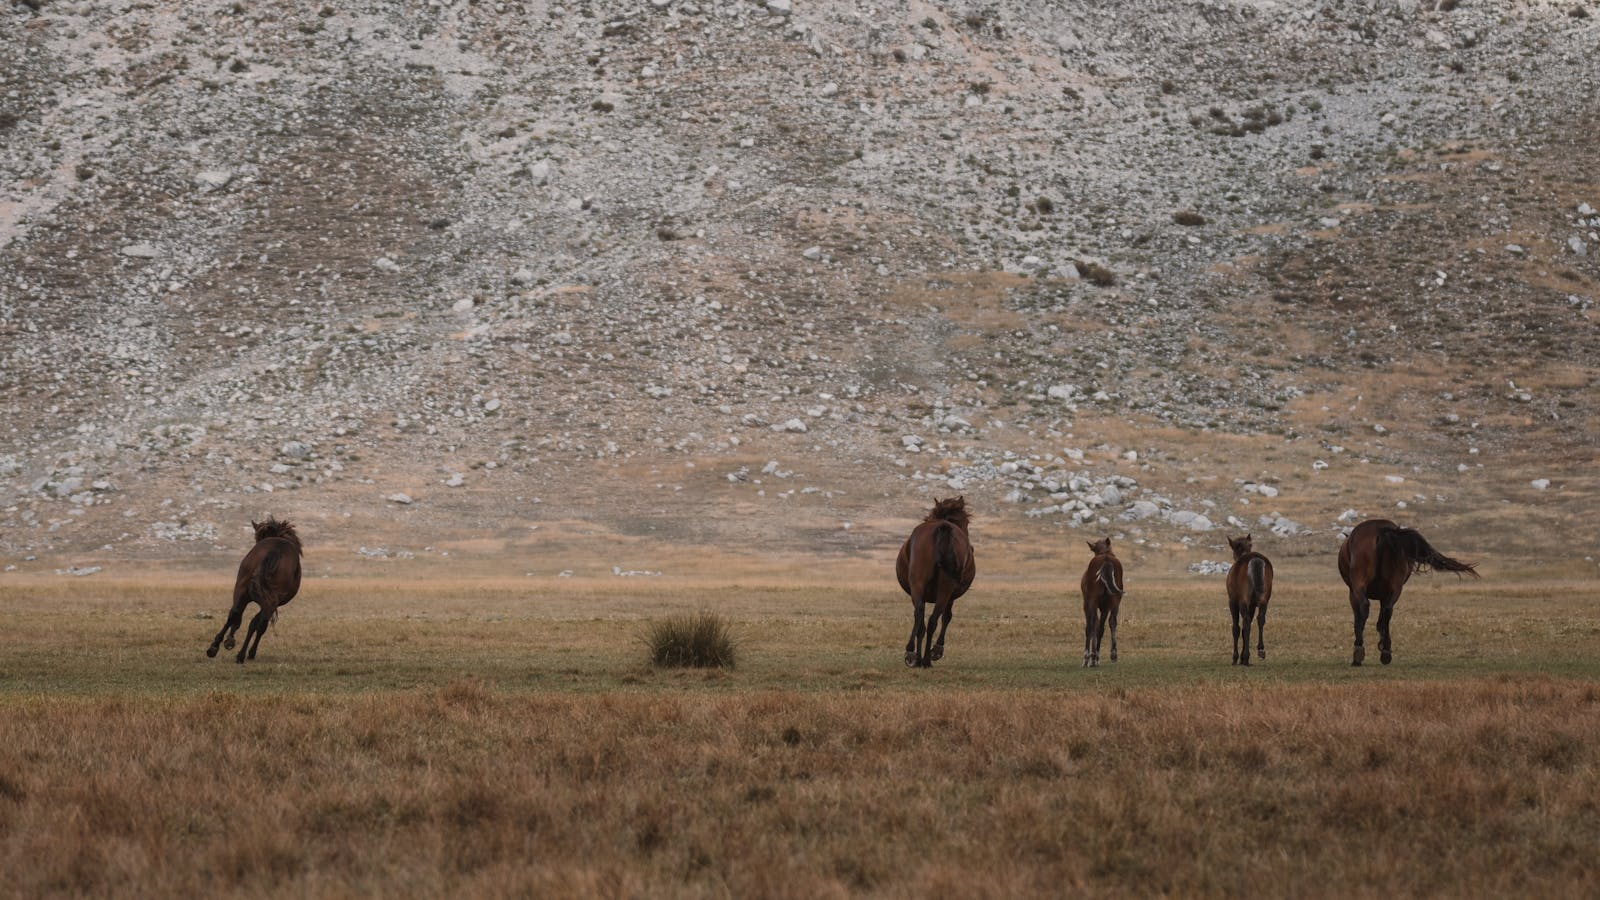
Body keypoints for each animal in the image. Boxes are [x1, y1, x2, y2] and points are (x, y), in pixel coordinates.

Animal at [206, 515, 302, 662]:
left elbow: (248, 621)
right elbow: (254, 623)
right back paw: (240, 653)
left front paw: (229, 641)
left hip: (242, 589)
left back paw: (220, 648)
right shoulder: (271, 603)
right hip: (267, 599)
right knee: (255, 621)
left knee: (236, 614)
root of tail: (275, 550)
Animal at [896, 496, 979, 666]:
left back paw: (916, 656)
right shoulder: (951, 597)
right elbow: (947, 617)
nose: (972, 548)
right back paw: (925, 658)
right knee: (931, 619)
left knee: (923, 617)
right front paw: (937, 649)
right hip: (944, 590)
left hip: (921, 586)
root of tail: (942, 527)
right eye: (966, 522)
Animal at [1075, 531, 1126, 666]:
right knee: (1109, 623)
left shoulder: (1086, 602)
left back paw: (1089, 657)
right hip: (1113, 600)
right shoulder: (1106, 605)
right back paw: (1109, 655)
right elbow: (1101, 625)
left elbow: (1091, 625)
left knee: (1091, 624)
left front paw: (1089, 658)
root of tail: (1106, 559)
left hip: (1093, 599)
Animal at [1222, 528, 1273, 662]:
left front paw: (1236, 657)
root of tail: (1255, 559)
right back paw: (1260, 650)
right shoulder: (1252, 605)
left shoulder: (1233, 602)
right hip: (1264, 599)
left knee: (1245, 621)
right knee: (1260, 619)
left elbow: (1236, 628)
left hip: (1242, 601)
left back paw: (1245, 656)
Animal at [1337, 518, 1472, 666]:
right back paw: (1385, 652)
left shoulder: (1353, 593)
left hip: (1360, 586)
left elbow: (1358, 618)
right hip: (1395, 588)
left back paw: (1359, 651)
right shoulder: (1385, 595)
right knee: (1387, 612)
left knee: (1365, 607)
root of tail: (1381, 530)